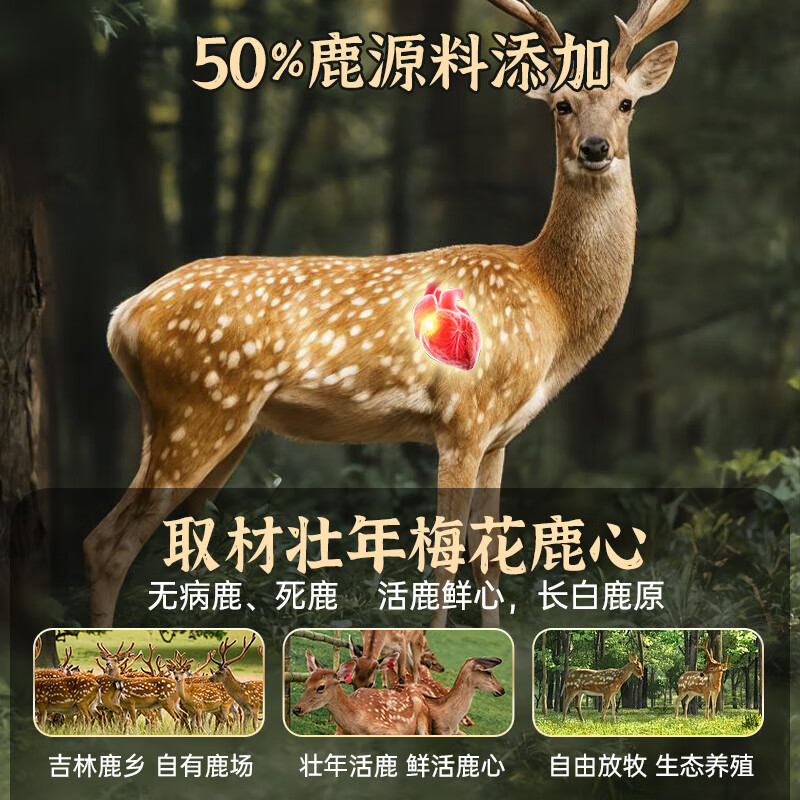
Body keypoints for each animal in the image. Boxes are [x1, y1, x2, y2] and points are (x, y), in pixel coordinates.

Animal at [83, 0, 693, 630]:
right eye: (561, 104)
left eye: (626, 103)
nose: (596, 147)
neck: (550, 305)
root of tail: (122, 316)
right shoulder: (464, 416)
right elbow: (445, 556)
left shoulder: (500, 435)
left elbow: (490, 557)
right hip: (199, 403)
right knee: (107, 542)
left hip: (213, 424)